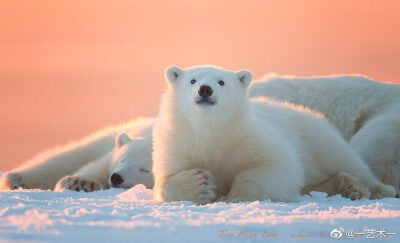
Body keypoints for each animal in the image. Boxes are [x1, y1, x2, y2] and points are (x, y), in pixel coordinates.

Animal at [0, 117, 155, 192]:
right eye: (122, 160)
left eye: (145, 170)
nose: (116, 177)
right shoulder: (109, 155)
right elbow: (99, 166)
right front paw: (79, 182)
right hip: (102, 140)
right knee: (69, 156)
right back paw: (16, 179)